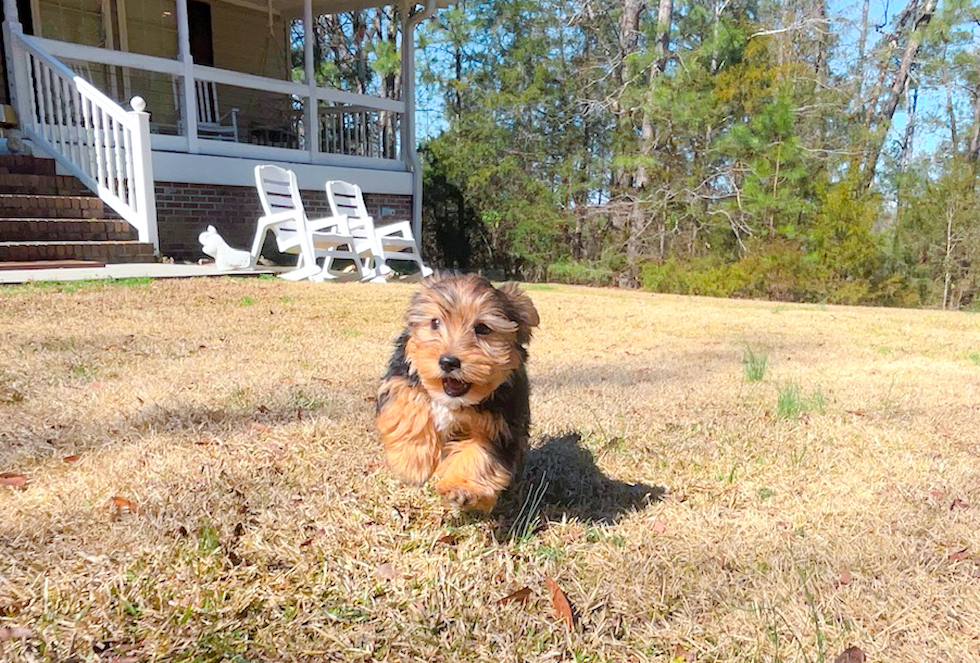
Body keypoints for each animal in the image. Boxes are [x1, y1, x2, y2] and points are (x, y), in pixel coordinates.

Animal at [378, 274, 544, 512]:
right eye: (435, 323)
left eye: (482, 328)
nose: (448, 361)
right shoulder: (401, 376)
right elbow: (409, 405)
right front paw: (412, 463)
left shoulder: (501, 424)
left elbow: (480, 454)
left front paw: (462, 487)